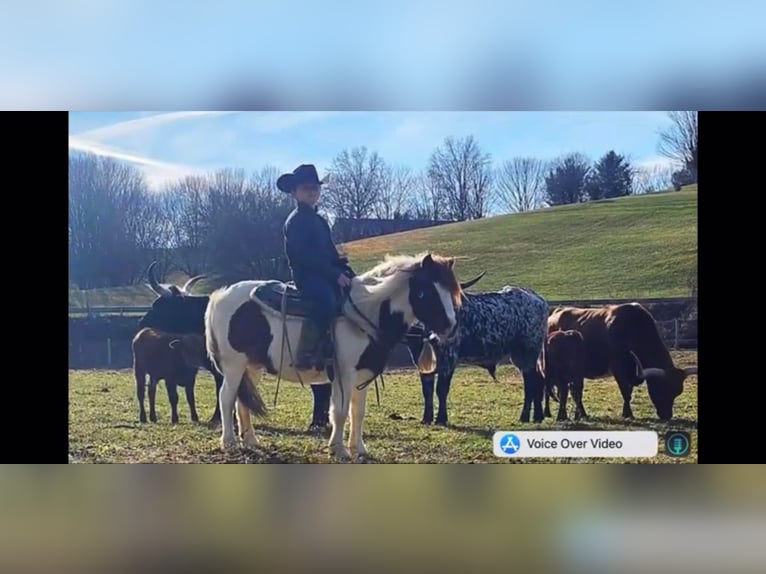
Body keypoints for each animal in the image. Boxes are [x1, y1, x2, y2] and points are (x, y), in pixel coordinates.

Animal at [204, 252, 464, 464]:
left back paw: (250, 440)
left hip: (252, 366)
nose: (451, 327)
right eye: (426, 292)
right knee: (226, 397)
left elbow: (358, 412)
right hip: (234, 364)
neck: (365, 313)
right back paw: (229, 442)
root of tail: (219, 295)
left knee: (242, 401)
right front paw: (338, 449)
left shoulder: (362, 376)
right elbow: (339, 411)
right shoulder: (344, 374)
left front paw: (359, 448)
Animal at [402, 284, 552, 428]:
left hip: (528, 353)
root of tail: (538, 299)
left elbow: (441, 390)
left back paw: (525, 416)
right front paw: (426, 418)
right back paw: (537, 416)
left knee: (531, 383)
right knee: (536, 380)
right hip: (521, 357)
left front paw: (441, 419)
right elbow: (427, 391)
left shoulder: (448, 359)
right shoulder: (423, 365)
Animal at [544, 304, 704, 420]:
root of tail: (556, 313)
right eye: (660, 387)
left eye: (677, 392)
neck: (633, 329)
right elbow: (626, 392)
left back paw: (580, 414)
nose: (667, 416)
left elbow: (629, 390)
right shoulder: (619, 369)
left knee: (574, 390)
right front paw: (628, 414)